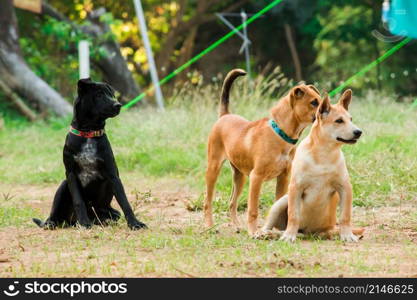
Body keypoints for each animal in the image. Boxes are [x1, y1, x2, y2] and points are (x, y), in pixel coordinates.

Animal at [33, 78, 146, 230]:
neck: (89, 133)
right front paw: (84, 223)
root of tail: (70, 221)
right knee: (54, 214)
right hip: (63, 185)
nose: (118, 105)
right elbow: (78, 201)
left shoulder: (113, 175)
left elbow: (124, 201)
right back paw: (53, 223)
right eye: (98, 95)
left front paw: (134, 223)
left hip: (107, 211)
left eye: (112, 94)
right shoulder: (71, 174)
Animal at [203, 69, 320, 236]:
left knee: (232, 202)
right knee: (208, 201)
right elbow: (253, 210)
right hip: (213, 169)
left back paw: (237, 226)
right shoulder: (256, 178)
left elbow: (278, 204)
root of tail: (225, 115)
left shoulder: (283, 177)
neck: (280, 134)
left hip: (239, 177)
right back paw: (209, 226)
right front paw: (253, 232)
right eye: (314, 102)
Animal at [262, 90, 362, 243]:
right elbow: (293, 215)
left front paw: (347, 235)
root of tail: (309, 233)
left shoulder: (345, 187)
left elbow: (345, 216)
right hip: (281, 202)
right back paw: (265, 233)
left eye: (351, 119)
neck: (324, 153)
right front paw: (289, 236)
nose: (358, 132)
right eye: (339, 121)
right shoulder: (295, 187)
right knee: (273, 225)